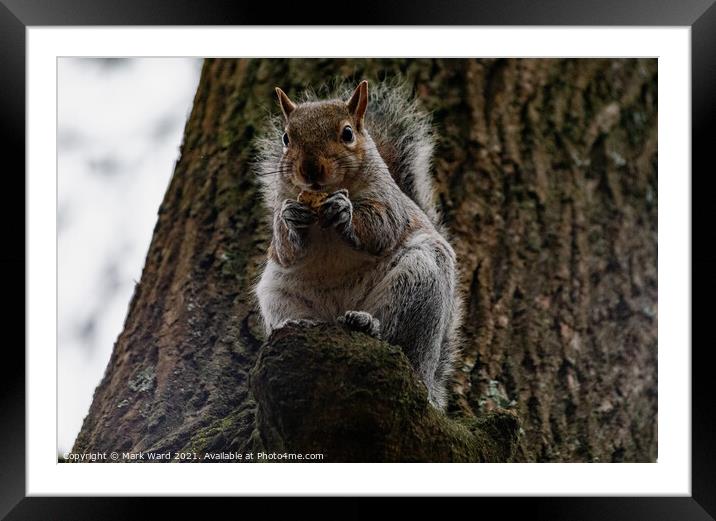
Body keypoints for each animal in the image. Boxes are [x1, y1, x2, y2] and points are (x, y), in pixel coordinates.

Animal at [255, 79, 462, 408]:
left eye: (348, 133)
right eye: (286, 138)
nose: (310, 169)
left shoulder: (390, 203)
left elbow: (381, 228)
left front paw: (345, 213)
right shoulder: (280, 209)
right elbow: (285, 250)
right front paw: (292, 219)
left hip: (419, 281)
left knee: (396, 334)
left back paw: (368, 324)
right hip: (278, 294)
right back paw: (300, 324)